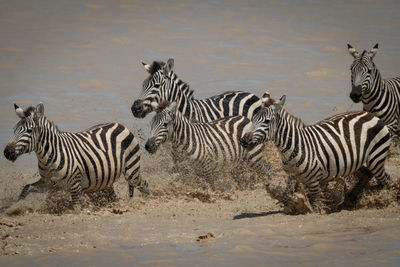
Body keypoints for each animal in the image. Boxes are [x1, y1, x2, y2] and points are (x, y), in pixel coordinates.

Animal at [2, 103, 150, 206]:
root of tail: (119, 124)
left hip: (131, 170)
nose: (7, 152)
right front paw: (16, 208)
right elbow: (26, 188)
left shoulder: (75, 185)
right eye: (14, 129)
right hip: (105, 179)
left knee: (143, 184)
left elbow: (75, 207)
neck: (48, 157)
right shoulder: (48, 183)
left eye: (29, 130)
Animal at [241, 92, 390, 214]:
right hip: (353, 162)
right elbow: (286, 196)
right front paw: (290, 207)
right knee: (367, 175)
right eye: (252, 119)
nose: (243, 140)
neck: (295, 147)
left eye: (266, 121)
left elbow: (315, 206)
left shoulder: (314, 181)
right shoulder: (292, 176)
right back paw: (350, 199)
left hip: (376, 159)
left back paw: (386, 199)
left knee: (385, 180)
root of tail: (370, 115)